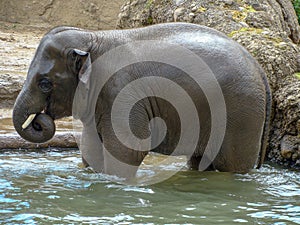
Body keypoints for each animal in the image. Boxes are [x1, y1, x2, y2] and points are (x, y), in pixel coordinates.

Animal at [12, 22, 272, 178]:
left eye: (44, 83)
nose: (39, 121)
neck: (92, 37)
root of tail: (260, 69)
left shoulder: (122, 92)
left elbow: (127, 151)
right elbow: (91, 146)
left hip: (240, 114)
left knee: (231, 166)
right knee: (200, 161)